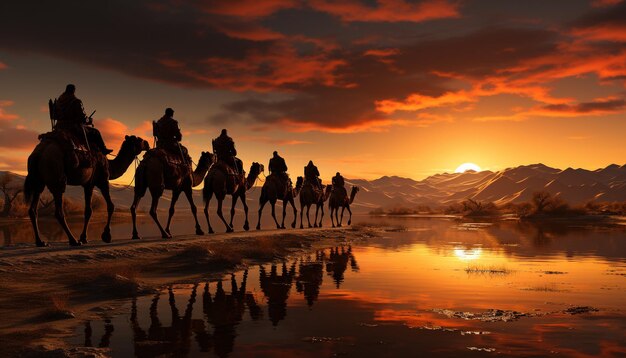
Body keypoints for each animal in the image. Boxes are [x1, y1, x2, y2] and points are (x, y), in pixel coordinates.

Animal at [22, 134, 150, 246]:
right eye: (139, 140)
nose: (148, 144)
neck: (109, 165)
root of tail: (38, 154)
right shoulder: (103, 181)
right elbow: (110, 206)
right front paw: (106, 236)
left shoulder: (88, 184)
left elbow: (88, 210)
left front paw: (84, 238)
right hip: (57, 177)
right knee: (58, 211)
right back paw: (73, 241)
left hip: (39, 182)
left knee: (33, 209)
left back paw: (40, 242)